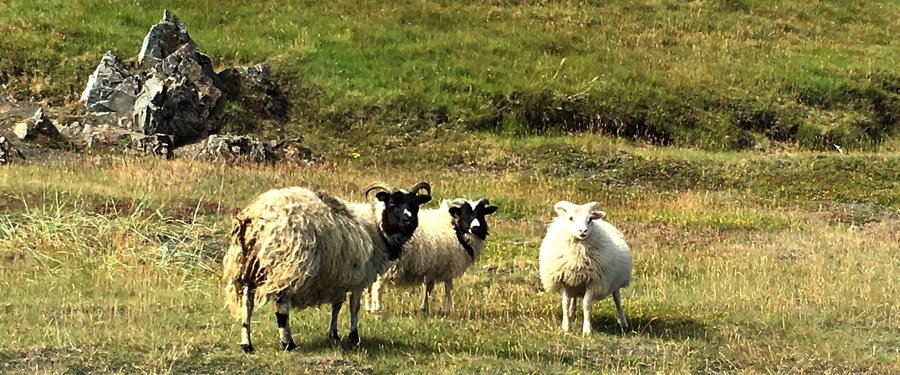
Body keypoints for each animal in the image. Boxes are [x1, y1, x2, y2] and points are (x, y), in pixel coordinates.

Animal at [221, 182, 432, 352]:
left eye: (415, 205)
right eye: (393, 204)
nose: (409, 221)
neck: (377, 227)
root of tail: (256, 217)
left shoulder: (339, 274)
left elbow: (337, 304)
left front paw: (333, 334)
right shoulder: (360, 276)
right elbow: (354, 307)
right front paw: (354, 337)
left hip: (247, 266)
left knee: (246, 305)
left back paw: (247, 344)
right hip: (288, 264)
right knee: (281, 308)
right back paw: (288, 343)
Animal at [364, 198, 500, 316]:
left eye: (481, 213)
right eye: (465, 213)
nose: (476, 228)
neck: (454, 228)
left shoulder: (433, 267)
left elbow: (429, 288)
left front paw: (424, 308)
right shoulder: (448, 266)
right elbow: (448, 287)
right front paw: (448, 309)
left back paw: (368, 308)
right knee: (377, 287)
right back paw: (377, 310)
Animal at [536, 201, 636, 336]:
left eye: (590, 219)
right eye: (570, 218)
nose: (583, 231)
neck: (577, 257)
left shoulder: (594, 282)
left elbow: (586, 304)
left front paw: (587, 330)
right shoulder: (563, 280)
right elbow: (565, 303)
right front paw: (566, 326)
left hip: (615, 281)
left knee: (617, 300)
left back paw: (623, 322)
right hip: (575, 282)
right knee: (573, 298)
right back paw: (572, 313)